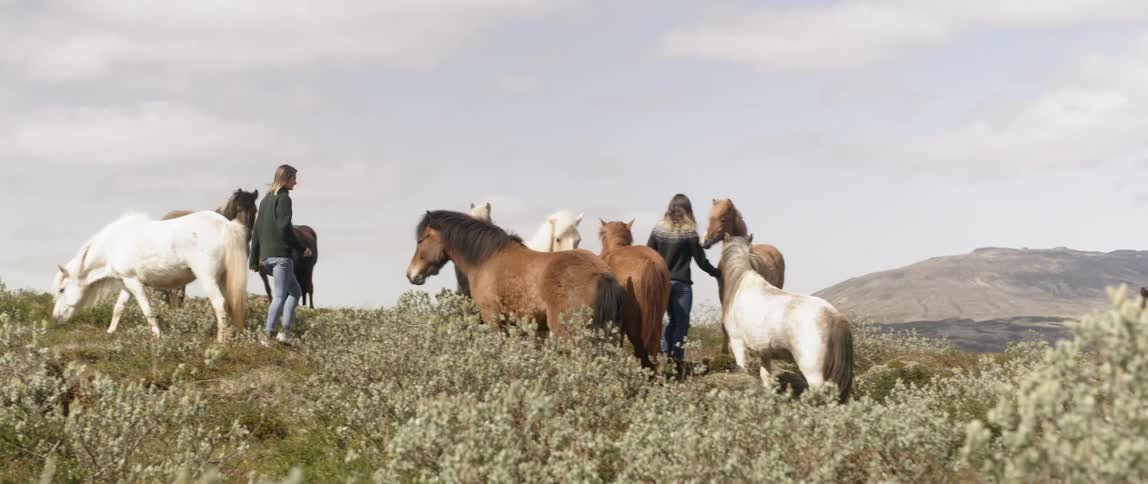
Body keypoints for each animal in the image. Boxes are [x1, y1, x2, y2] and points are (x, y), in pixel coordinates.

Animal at [51, 212, 249, 342]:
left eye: (62, 289)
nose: (55, 318)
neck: (113, 245)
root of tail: (225, 225)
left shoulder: (134, 282)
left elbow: (147, 310)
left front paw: (157, 335)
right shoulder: (126, 283)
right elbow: (118, 308)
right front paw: (110, 331)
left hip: (208, 279)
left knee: (219, 304)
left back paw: (220, 340)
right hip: (222, 278)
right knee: (229, 304)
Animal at [702, 198, 787, 354]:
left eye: (723, 219)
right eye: (709, 218)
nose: (705, 242)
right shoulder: (723, 295)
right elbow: (724, 322)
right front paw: (724, 351)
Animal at [718, 235, 853, 403]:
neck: (743, 284)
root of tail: (834, 317)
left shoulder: (737, 342)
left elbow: (743, 369)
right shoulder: (764, 353)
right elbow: (766, 377)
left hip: (813, 371)